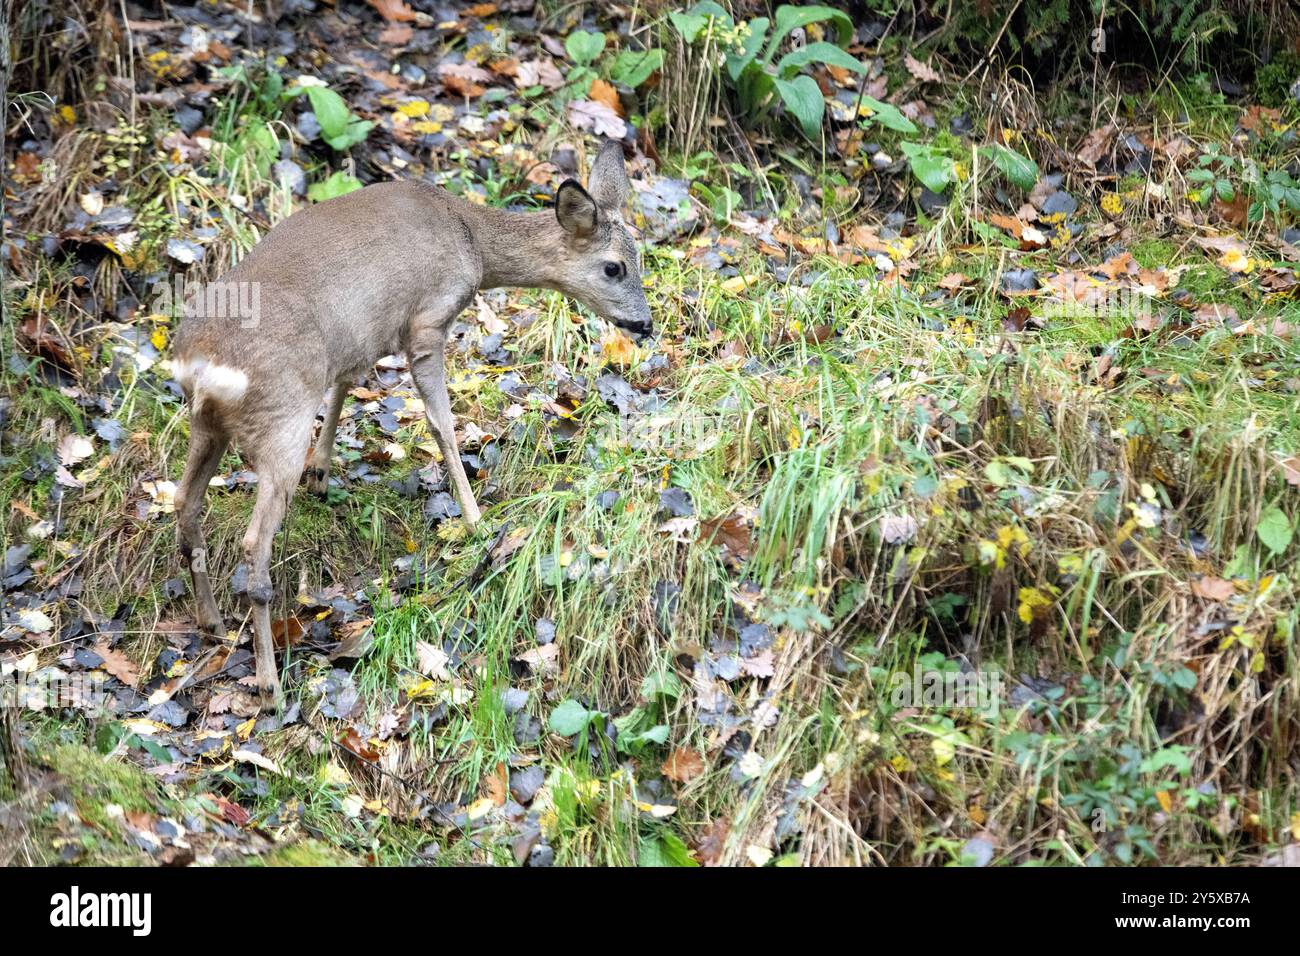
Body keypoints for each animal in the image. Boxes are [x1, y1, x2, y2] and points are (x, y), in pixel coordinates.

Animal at [169, 140, 651, 710]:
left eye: (641, 260)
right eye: (614, 267)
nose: (645, 324)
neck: (471, 241)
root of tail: (203, 365)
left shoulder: (367, 333)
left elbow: (345, 383)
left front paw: (323, 472)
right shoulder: (426, 321)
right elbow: (442, 424)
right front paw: (476, 519)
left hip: (207, 424)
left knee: (184, 504)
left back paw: (212, 622)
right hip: (281, 419)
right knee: (252, 546)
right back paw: (269, 684)